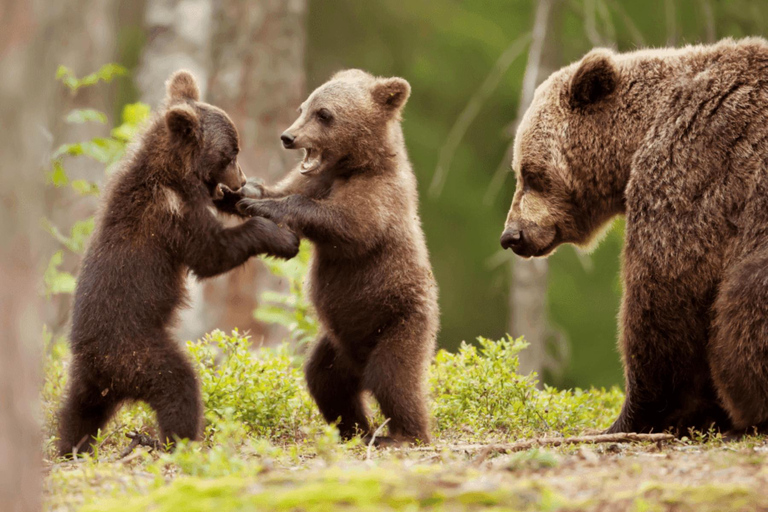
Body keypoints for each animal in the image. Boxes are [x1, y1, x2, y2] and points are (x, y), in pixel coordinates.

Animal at [56, 70, 300, 457]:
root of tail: (101, 366)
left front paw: (251, 198)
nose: (241, 179)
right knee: (178, 385)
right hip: (137, 352)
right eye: (231, 152)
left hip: (88, 379)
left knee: (77, 412)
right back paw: (177, 440)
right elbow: (211, 253)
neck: (175, 174)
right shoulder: (171, 216)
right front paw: (280, 237)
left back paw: (70, 447)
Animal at [231, 69, 439, 445]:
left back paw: (404, 434)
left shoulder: (380, 196)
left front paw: (265, 206)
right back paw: (355, 429)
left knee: (395, 379)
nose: (288, 136)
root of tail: (358, 363)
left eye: (324, 114)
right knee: (325, 380)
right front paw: (249, 190)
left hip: (400, 322)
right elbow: (286, 189)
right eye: (303, 107)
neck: (353, 166)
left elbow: (349, 225)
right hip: (336, 345)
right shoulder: (316, 179)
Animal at [500, 37, 768, 436]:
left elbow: (665, 293)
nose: (511, 235)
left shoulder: (695, 167)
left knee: (745, 295)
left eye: (531, 173)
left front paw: (632, 416)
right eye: (520, 170)